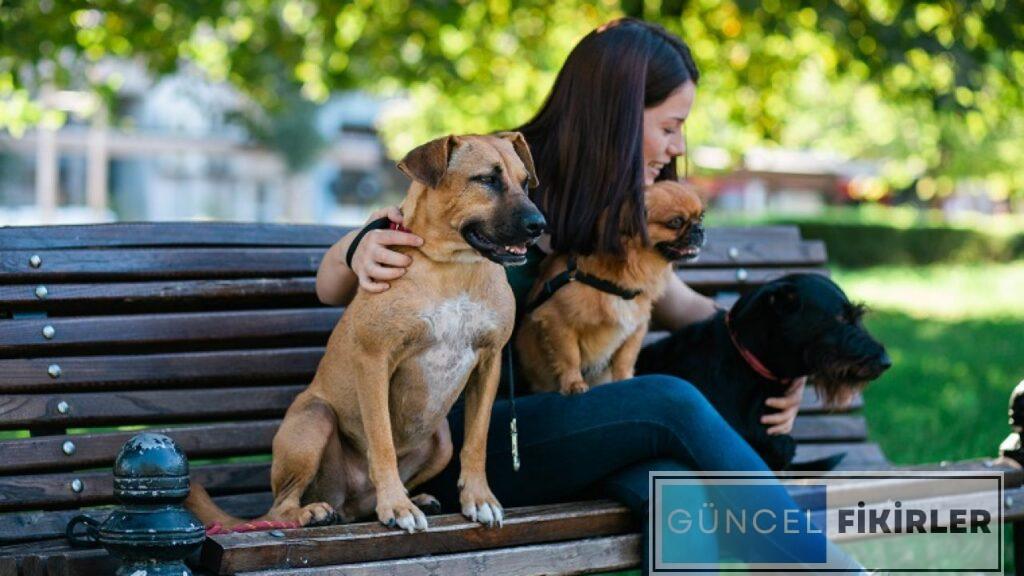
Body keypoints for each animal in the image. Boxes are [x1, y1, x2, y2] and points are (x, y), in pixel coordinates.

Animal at [188, 132, 548, 532]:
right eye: (486, 179)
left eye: (525, 182)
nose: (540, 224)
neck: (453, 267)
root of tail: (346, 500)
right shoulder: (375, 361)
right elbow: (382, 441)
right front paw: (396, 505)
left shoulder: (489, 363)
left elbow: (477, 440)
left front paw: (479, 498)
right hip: (314, 418)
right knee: (280, 508)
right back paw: (313, 512)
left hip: (440, 441)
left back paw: (409, 498)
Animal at [520, 179, 704, 393]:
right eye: (676, 222)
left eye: (701, 217)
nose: (700, 229)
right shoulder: (557, 320)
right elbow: (570, 357)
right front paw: (573, 384)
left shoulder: (635, 328)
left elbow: (625, 359)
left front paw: (625, 380)